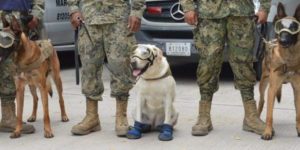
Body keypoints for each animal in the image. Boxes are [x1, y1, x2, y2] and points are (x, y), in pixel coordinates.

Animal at [258, 2, 300, 140]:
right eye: (280, 26)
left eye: (294, 27)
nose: (283, 41)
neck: (288, 59)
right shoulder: (271, 89)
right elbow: (269, 115)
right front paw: (267, 132)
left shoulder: (297, 89)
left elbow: (298, 113)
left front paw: (299, 129)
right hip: (263, 84)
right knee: (262, 102)